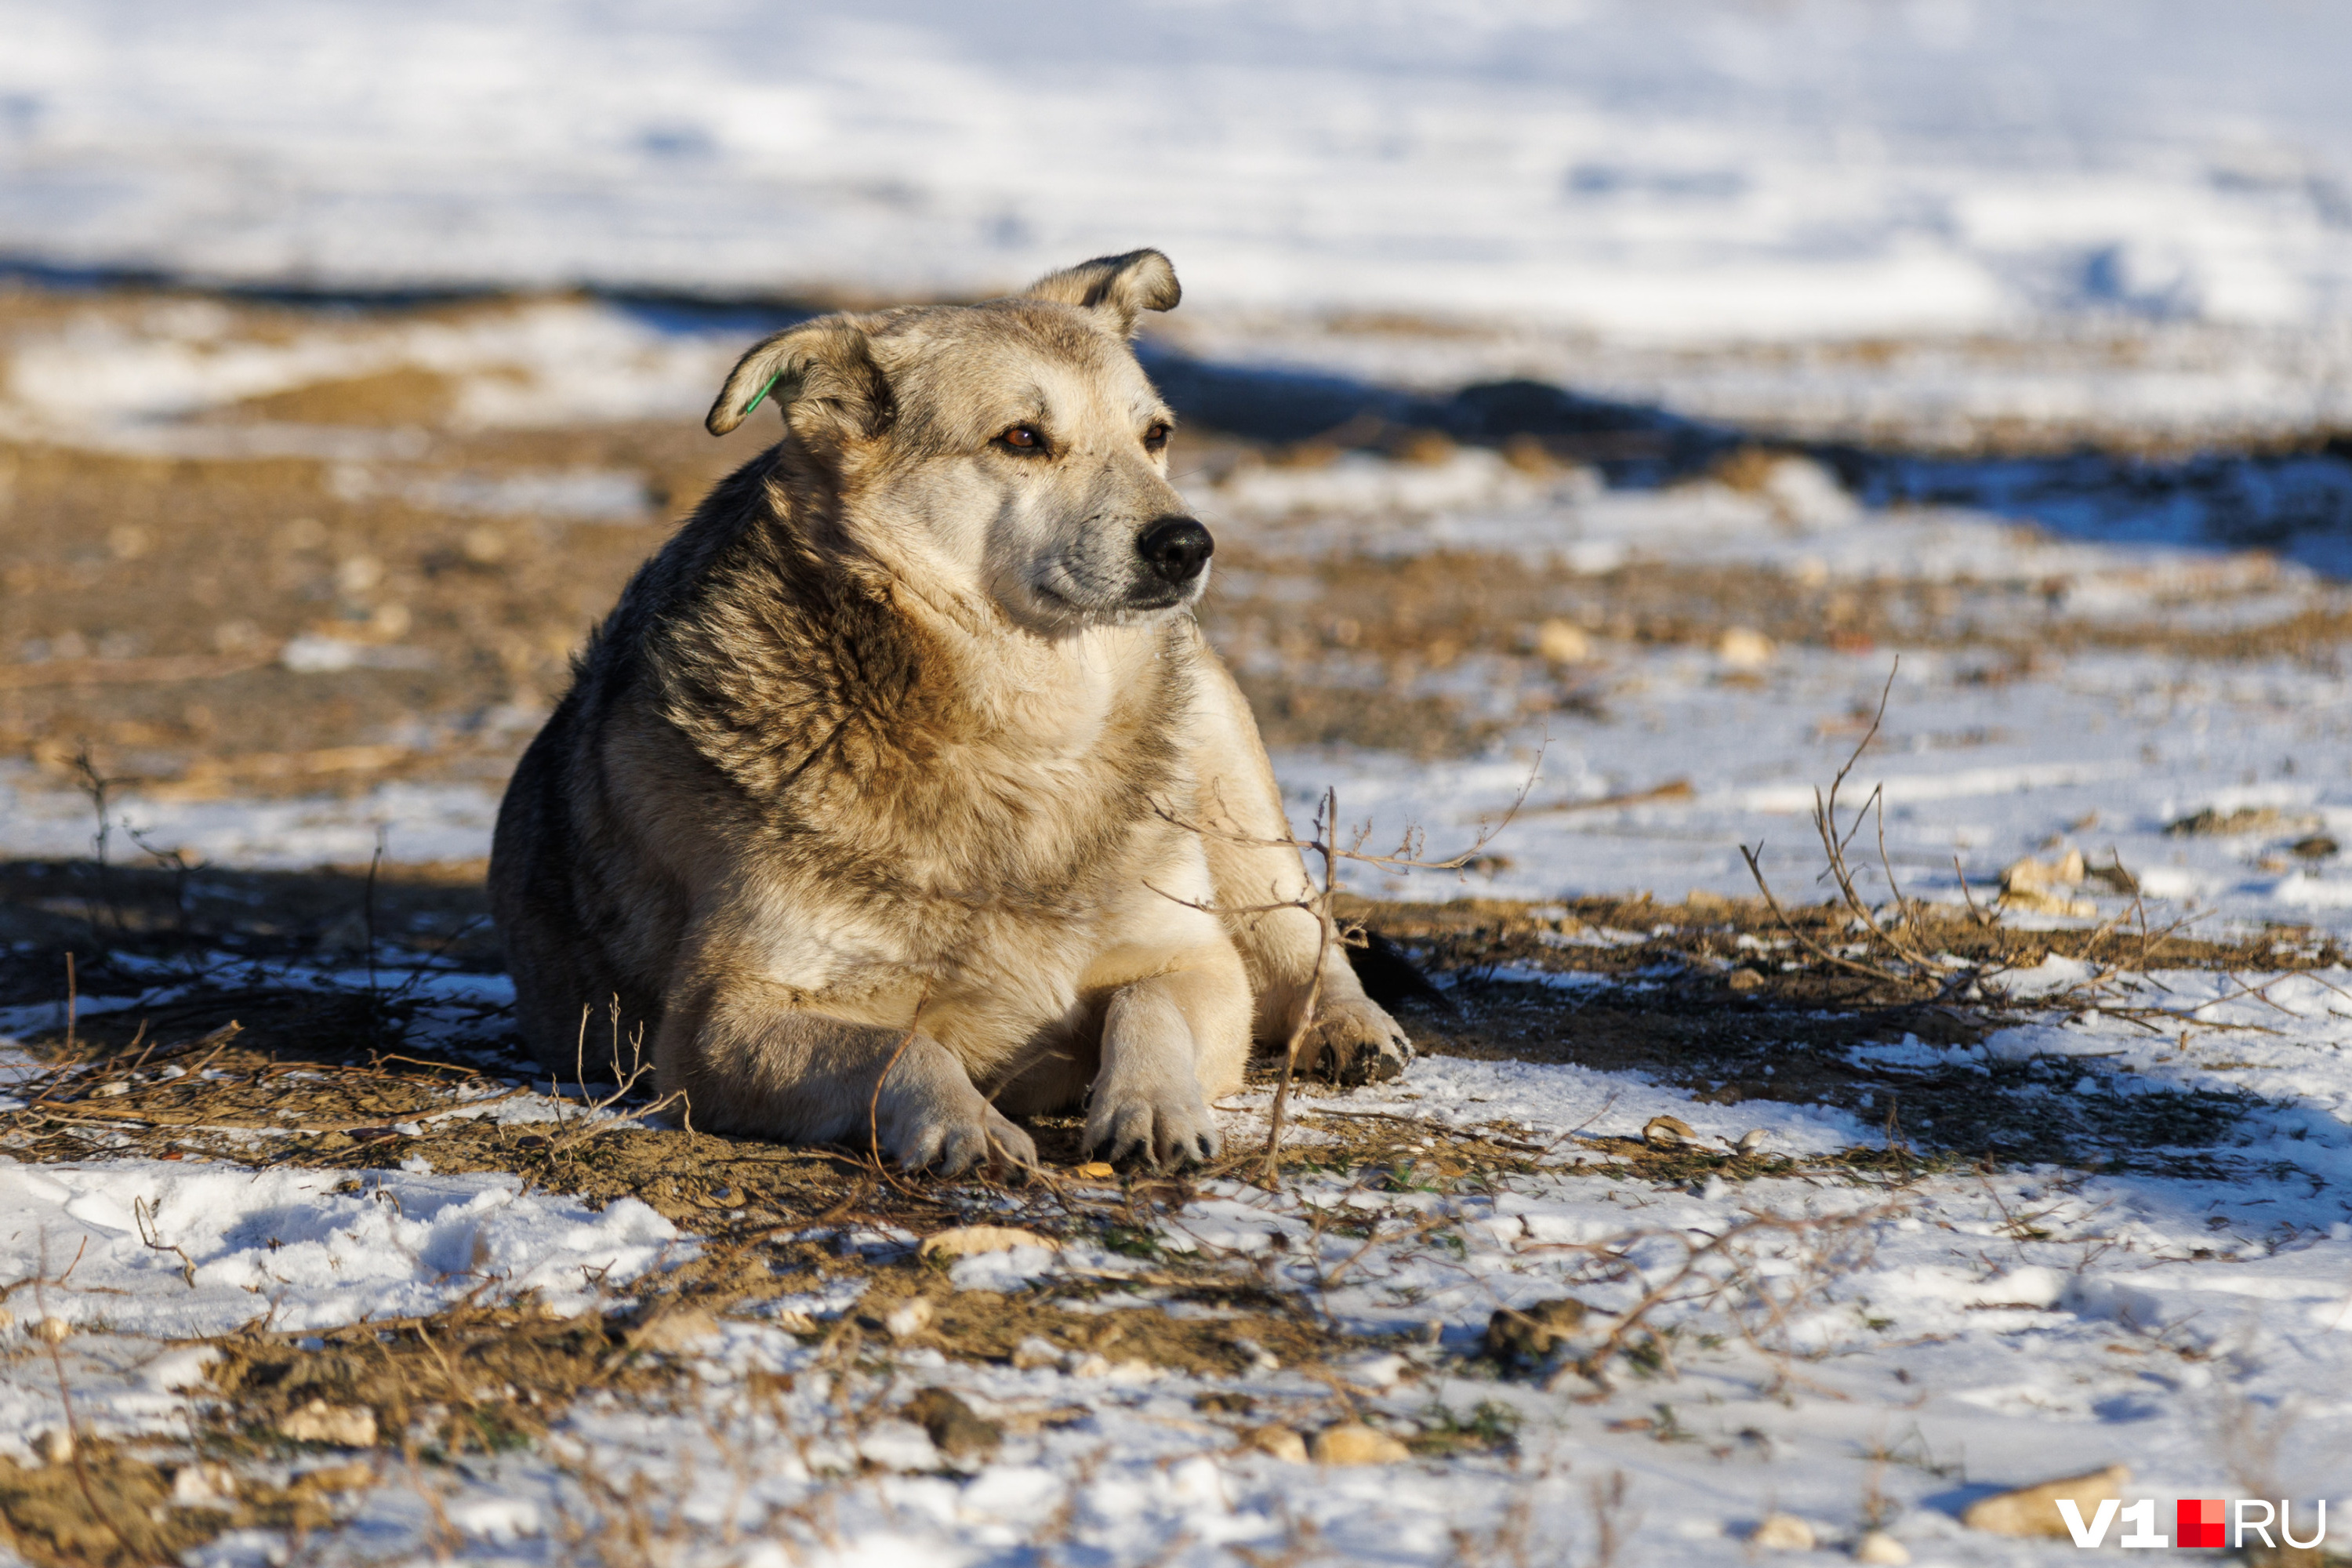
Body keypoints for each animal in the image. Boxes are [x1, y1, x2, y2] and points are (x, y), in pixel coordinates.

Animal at [492, 251, 1411, 1171]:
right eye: (1022, 438)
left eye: (1155, 436)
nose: (1187, 544)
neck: (1025, 737)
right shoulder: (715, 1024)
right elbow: (900, 1046)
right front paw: (963, 1122)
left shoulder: (1192, 959)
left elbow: (1145, 1006)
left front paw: (1152, 1104)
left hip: (1226, 772)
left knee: (1303, 926)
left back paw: (1350, 1026)